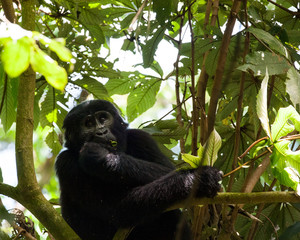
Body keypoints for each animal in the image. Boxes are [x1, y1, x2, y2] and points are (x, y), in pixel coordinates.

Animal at [55, 100, 221, 240]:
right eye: (88, 124)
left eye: (103, 118)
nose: (101, 132)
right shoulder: (65, 162)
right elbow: (116, 210)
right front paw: (198, 180)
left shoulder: (141, 137)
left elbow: (168, 171)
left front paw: (103, 157)